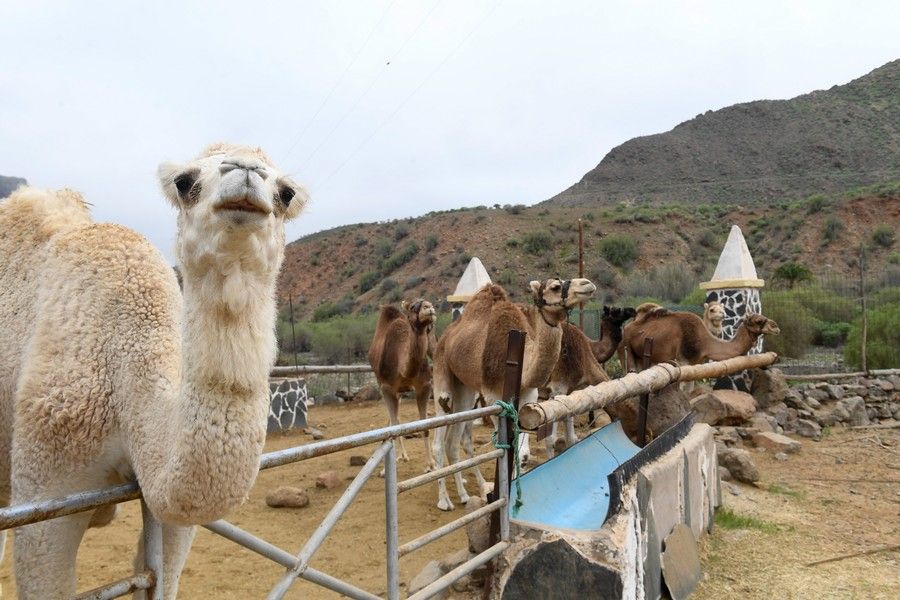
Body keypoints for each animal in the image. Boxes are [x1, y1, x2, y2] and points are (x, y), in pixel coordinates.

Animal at [366, 298, 436, 468]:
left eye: (428, 303)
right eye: (412, 307)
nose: (429, 307)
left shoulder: (425, 386)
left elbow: (425, 427)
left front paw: (431, 464)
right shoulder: (387, 388)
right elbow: (395, 429)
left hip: (400, 393)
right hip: (382, 383)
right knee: (394, 421)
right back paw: (401, 456)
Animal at [430, 278, 596, 508]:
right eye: (555, 286)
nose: (587, 284)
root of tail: (445, 336)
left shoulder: (529, 394)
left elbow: (522, 450)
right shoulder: (492, 396)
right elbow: (505, 447)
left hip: (466, 389)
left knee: (453, 442)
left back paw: (466, 495)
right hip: (442, 374)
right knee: (438, 439)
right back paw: (444, 500)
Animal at [620, 308, 780, 372]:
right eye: (759, 321)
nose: (776, 327)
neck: (704, 342)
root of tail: (626, 328)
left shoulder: (694, 363)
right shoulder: (683, 360)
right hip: (624, 347)